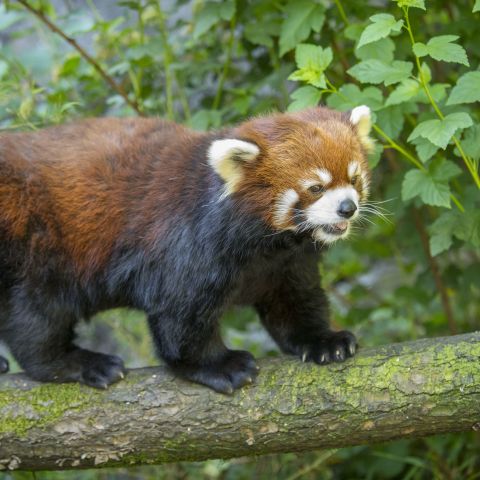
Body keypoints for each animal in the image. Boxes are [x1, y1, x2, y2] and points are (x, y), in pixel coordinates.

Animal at [0, 106, 376, 394]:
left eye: (354, 178)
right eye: (315, 187)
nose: (347, 208)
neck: (267, 245)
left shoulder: (286, 264)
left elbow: (295, 302)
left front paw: (323, 340)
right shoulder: (187, 244)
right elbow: (180, 316)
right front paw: (219, 365)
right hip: (38, 240)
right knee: (37, 314)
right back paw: (76, 361)